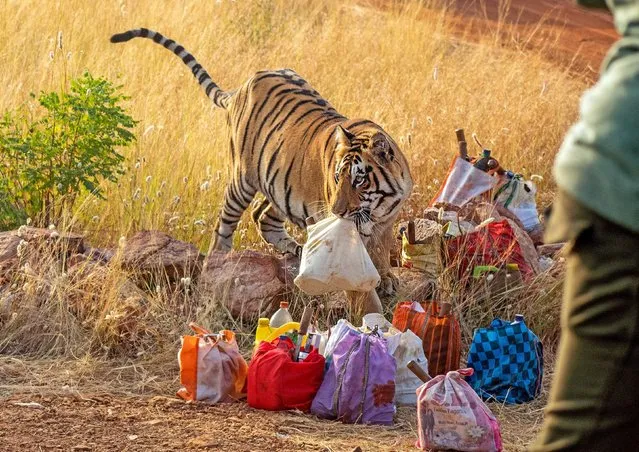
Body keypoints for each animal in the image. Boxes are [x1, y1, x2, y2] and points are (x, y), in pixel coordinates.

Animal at [110, 27, 416, 310]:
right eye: (338, 177)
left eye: (359, 181)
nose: (337, 211)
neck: (379, 206)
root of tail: (242, 87)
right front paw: (369, 310)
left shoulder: (386, 222)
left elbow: (380, 251)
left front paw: (386, 278)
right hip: (242, 179)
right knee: (225, 227)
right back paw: (220, 263)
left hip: (282, 184)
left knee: (262, 215)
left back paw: (296, 248)